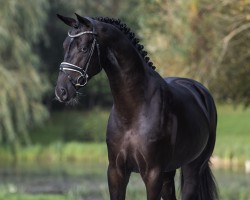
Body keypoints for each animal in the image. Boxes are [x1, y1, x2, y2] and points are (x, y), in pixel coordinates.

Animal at [54, 14, 217, 200]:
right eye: (65, 45)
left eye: (84, 48)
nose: (61, 91)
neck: (134, 110)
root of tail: (200, 90)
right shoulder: (116, 172)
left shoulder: (153, 174)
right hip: (168, 173)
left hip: (192, 169)